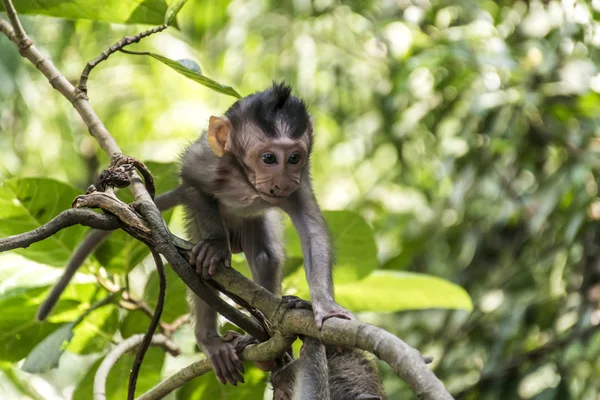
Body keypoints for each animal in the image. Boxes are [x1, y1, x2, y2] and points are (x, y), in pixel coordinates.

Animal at [180, 81, 354, 384]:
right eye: (269, 158)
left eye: (294, 158)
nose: (283, 181)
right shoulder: (208, 164)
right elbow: (190, 177)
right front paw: (215, 245)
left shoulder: (299, 181)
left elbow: (313, 234)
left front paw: (326, 305)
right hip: (195, 219)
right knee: (199, 271)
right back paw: (210, 340)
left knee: (266, 257)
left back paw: (264, 337)